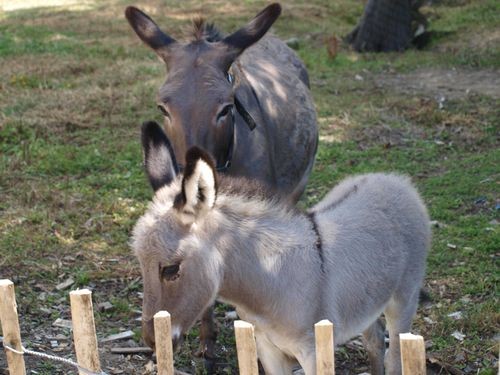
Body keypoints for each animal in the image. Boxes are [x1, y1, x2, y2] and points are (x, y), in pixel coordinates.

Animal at [133, 122, 430, 374]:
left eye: (170, 269)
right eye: (141, 264)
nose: (151, 341)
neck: (270, 278)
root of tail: (395, 180)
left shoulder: (313, 350)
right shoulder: (267, 349)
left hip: (404, 298)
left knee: (395, 355)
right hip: (368, 298)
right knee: (375, 340)